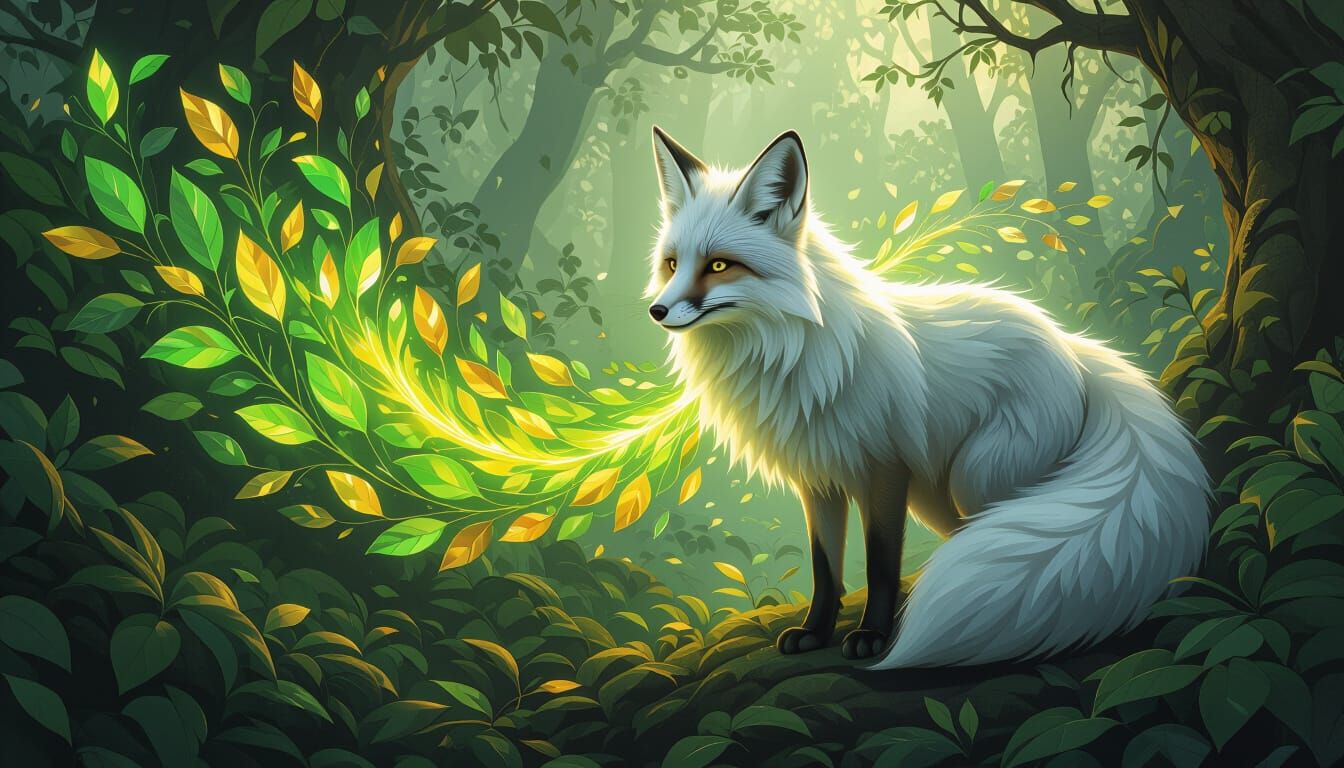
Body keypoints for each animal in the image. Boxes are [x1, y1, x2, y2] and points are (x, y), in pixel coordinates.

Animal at [644, 126, 1212, 667]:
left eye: (719, 266)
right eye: (672, 264)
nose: (656, 311)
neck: (796, 354)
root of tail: (1069, 343)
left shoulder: (885, 469)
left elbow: (880, 564)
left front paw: (871, 635)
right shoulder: (819, 479)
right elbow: (826, 568)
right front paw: (815, 632)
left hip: (978, 477)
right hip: (939, 496)